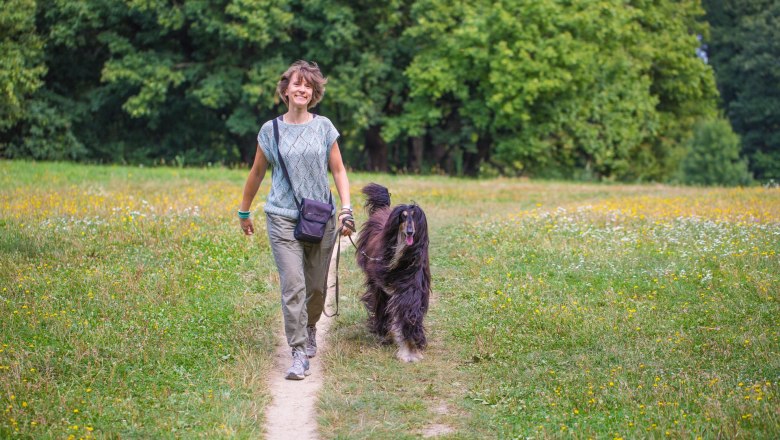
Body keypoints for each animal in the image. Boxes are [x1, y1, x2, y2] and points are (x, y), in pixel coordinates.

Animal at [354, 182, 430, 360]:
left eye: (414, 217)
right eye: (403, 216)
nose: (410, 232)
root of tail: (383, 210)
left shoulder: (412, 281)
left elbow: (410, 305)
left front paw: (413, 339)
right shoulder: (380, 282)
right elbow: (380, 302)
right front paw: (383, 331)